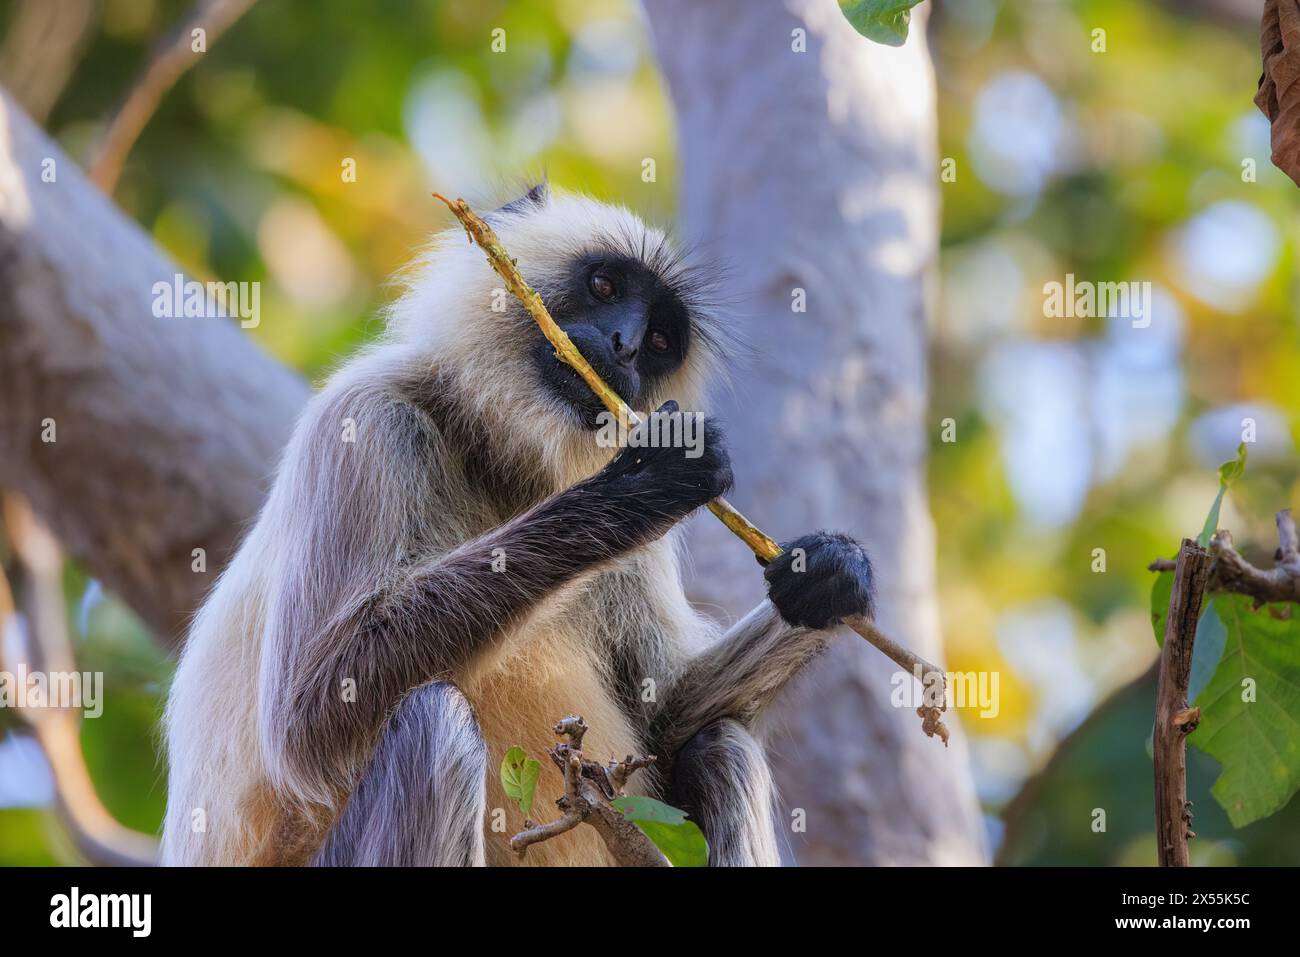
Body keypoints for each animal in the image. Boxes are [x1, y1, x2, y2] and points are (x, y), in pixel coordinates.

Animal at [159, 183, 873, 863]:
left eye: (660, 340)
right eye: (605, 286)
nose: (625, 346)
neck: (496, 454)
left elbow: (667, 720)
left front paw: (829, 574)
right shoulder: (365, 417)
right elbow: (305, 722)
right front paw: (639, 489)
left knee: (720, 746)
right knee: (434, 724)